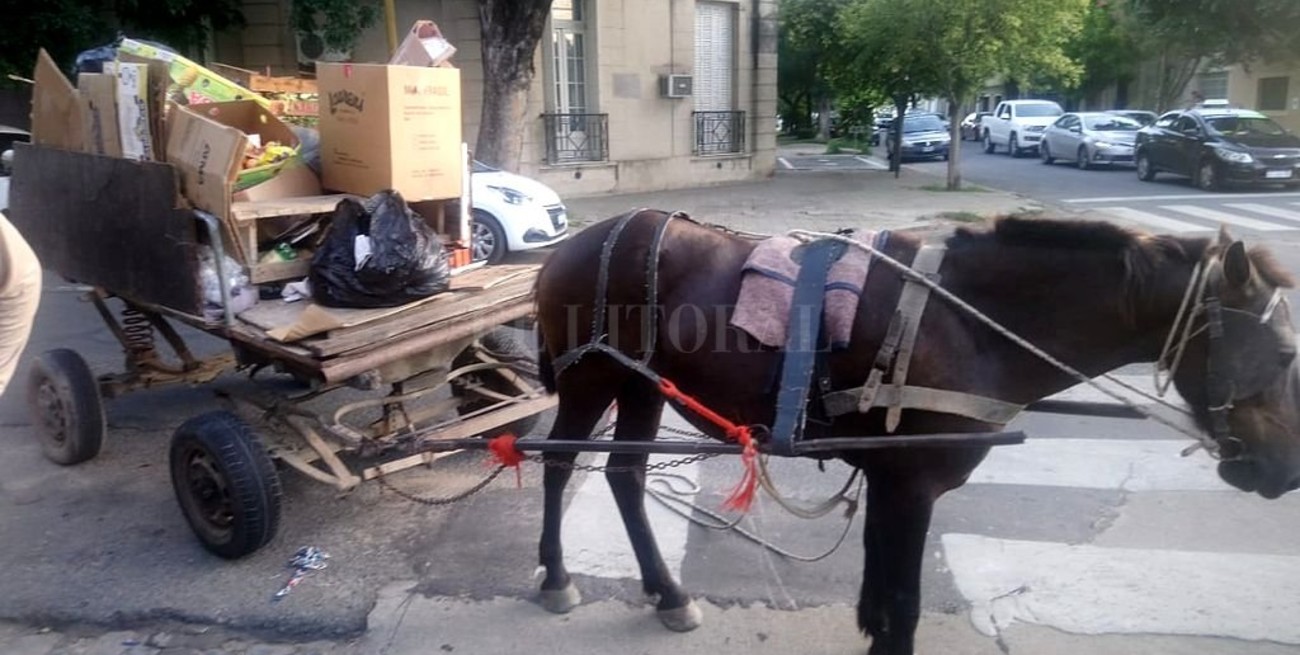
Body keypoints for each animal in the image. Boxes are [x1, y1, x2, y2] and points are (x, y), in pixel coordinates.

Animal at [528, 209, 1300, 655]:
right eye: (1285, 353)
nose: (1285, 469)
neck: (968, 319)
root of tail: (574, 243)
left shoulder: (892, 477)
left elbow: (882, 598)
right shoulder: (912, 482)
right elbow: (902, 608)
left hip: (640, 384)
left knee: (625, 477)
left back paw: (667, 591)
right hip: (591, 379)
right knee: (558, 466)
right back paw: (558, 576)